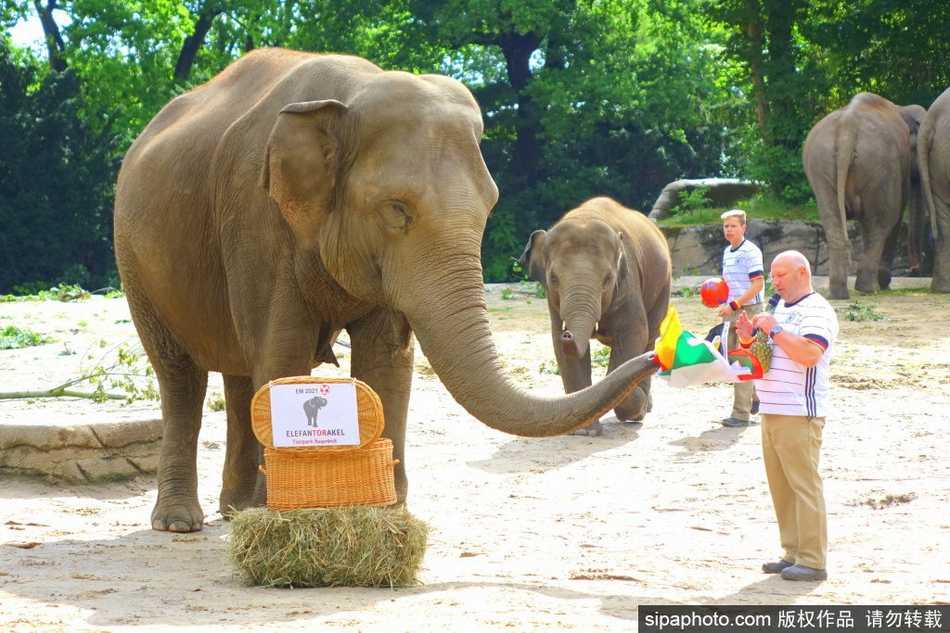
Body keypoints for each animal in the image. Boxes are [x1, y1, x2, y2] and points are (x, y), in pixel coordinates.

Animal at [518, 197, 672, 436]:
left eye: (607, 279)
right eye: (553, 278)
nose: (568, 334)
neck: (585, 215)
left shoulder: (628, 283)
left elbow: (633, 333)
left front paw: (634, 409)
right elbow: (561, 348)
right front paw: (584, 431)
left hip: (663, 286)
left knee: (650, 335)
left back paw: (643, 407)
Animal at [803, 92, 926, 299]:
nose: (915, 269)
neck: (903, 109)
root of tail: (847, 128)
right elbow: (896, 216)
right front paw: (884, 284)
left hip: (821, 164)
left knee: (833, 221)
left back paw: (840, 293)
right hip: (880, 166)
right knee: (882, 222)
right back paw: (870, 289)